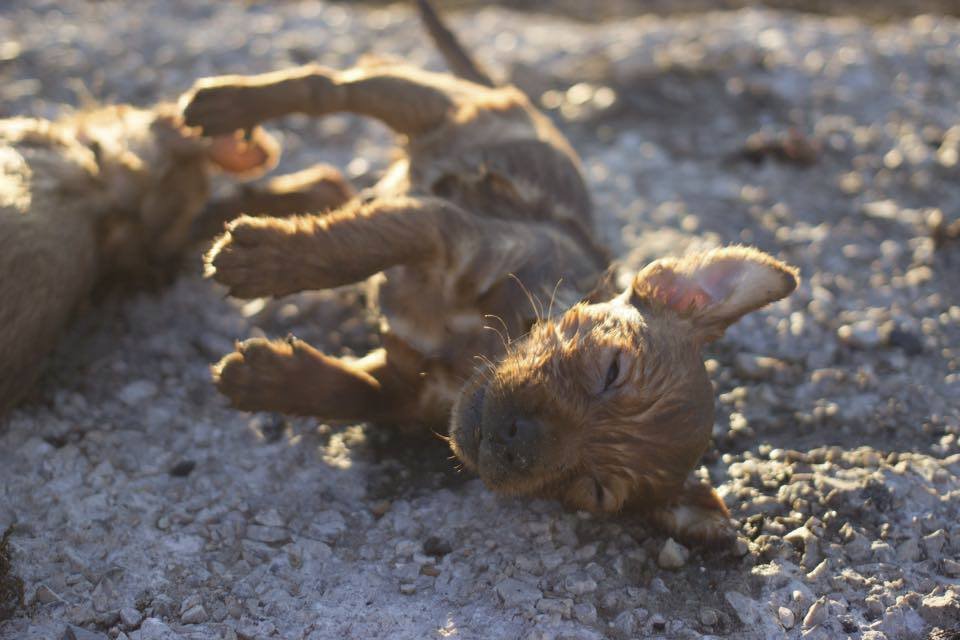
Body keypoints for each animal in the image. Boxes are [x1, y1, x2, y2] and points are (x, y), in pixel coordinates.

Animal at [182, 2, 796, 548]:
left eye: (593, 489)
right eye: (611, 369)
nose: (516, 443)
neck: (473, 349)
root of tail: (526, 101)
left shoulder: (406, 391)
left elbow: (348, 392)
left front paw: (265, 378)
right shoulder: (445, 231)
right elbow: (352, 247)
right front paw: (259, 261)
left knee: (336, 134)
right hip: (429, 103)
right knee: (330, 85)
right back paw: (223, 104)